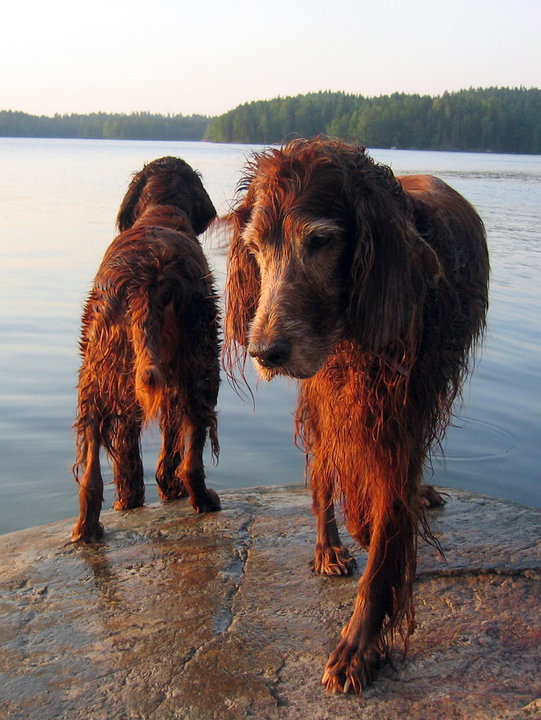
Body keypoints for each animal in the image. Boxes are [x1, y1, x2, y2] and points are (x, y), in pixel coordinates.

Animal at [73, 156, 220, 540]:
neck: (161, 210)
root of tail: (147, 277)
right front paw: (167, 489)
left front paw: (130, 501)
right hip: (200, 360)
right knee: (193, 445)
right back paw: (203, 497)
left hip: (101, 368)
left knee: (92, 455)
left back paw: (88, 527)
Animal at [225, 138, 490, 696]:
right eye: (256, 248)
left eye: (321, 241)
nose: (265, 351)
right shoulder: (330, 396)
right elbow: (334, 477)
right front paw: (344, 540)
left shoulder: (404, 417)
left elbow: (389, 532)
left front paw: (358, 646)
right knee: (325, 469)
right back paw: (332, 545)